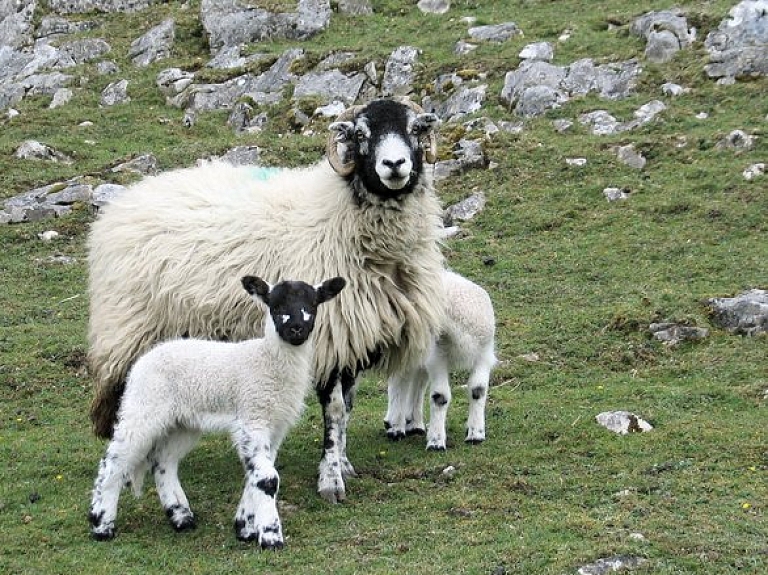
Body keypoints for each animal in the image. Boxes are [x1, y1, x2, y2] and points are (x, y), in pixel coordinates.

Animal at [86, 276, 344, 548]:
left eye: (313, 305)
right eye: (274, 306)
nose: (296, 329)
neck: (265, 360)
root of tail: (142, 361)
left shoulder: (275, 425)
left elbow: (256, 474)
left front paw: (245, 527)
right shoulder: (253, 416)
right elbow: (267, 478)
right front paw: (270, 536)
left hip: (183, 423)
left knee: (163, 461)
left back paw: (181, 517)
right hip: (143, 407)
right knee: (114, 461)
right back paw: (101, 525)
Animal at [87, 98, 448, 504]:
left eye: (415, 128)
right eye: (361, 134)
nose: (394, 164)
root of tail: (120, 204)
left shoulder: (351, 338)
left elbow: (348, 408)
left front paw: (343, 464)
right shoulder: (326, 335)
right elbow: (335, 411)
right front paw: (330, 479)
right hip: (128, 328)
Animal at [384, 272, 498, 452]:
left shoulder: (484, 356)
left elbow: (478, 391)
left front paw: (476, 435)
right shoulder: (438, 359)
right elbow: (440, 396)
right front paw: (436, 442)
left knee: (417, 381)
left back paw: (414, 424)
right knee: (400, 380)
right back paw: (395, 426)